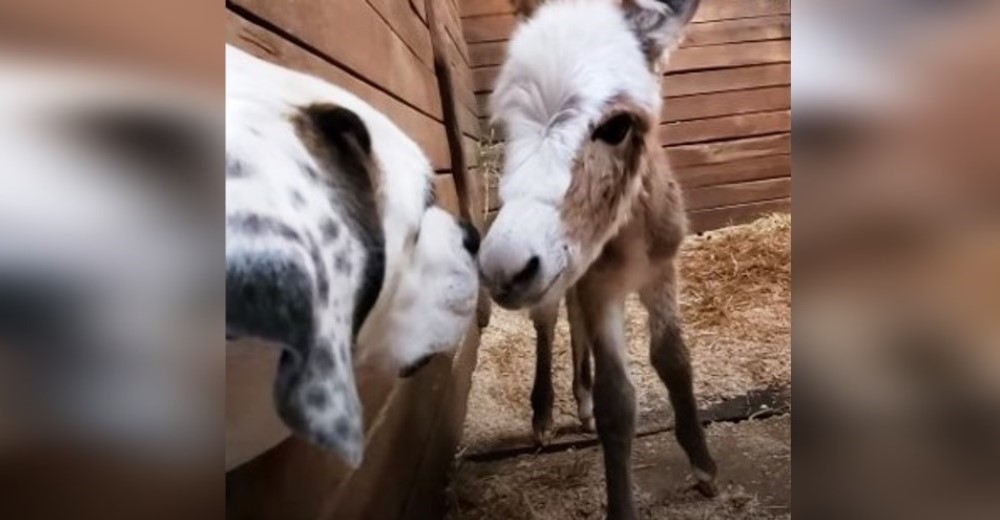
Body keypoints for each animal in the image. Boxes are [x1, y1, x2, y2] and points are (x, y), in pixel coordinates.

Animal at [478, 1, 720, 516]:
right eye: (506, 128)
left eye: (616, 126)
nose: (503, 269)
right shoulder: (598, 287)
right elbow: (618, 402)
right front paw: (621, 502)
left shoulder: (660, 272)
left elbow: (673, 360)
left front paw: (704, 466)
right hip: (556, 284)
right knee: (549, 325)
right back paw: (545, 414)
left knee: (573, 323)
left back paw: (580, 400)